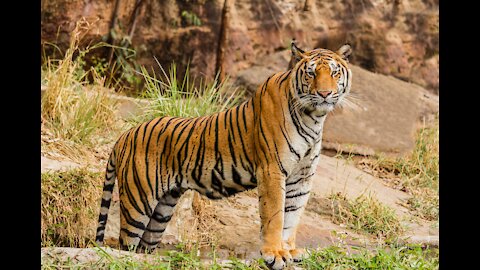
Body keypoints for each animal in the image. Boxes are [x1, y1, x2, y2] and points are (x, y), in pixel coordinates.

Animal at [94, 41, 352, 268]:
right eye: (311, 73)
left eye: (334, 73)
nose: (325, 93)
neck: (313, 118)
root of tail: (124, 135)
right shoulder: (272, 171)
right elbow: (275, 216)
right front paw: (274, 255)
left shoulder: (302, 177)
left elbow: (292, 217)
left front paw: (289, 251)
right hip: (137, 203)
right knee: (125, 245)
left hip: (162, 210)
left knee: (143, 247)